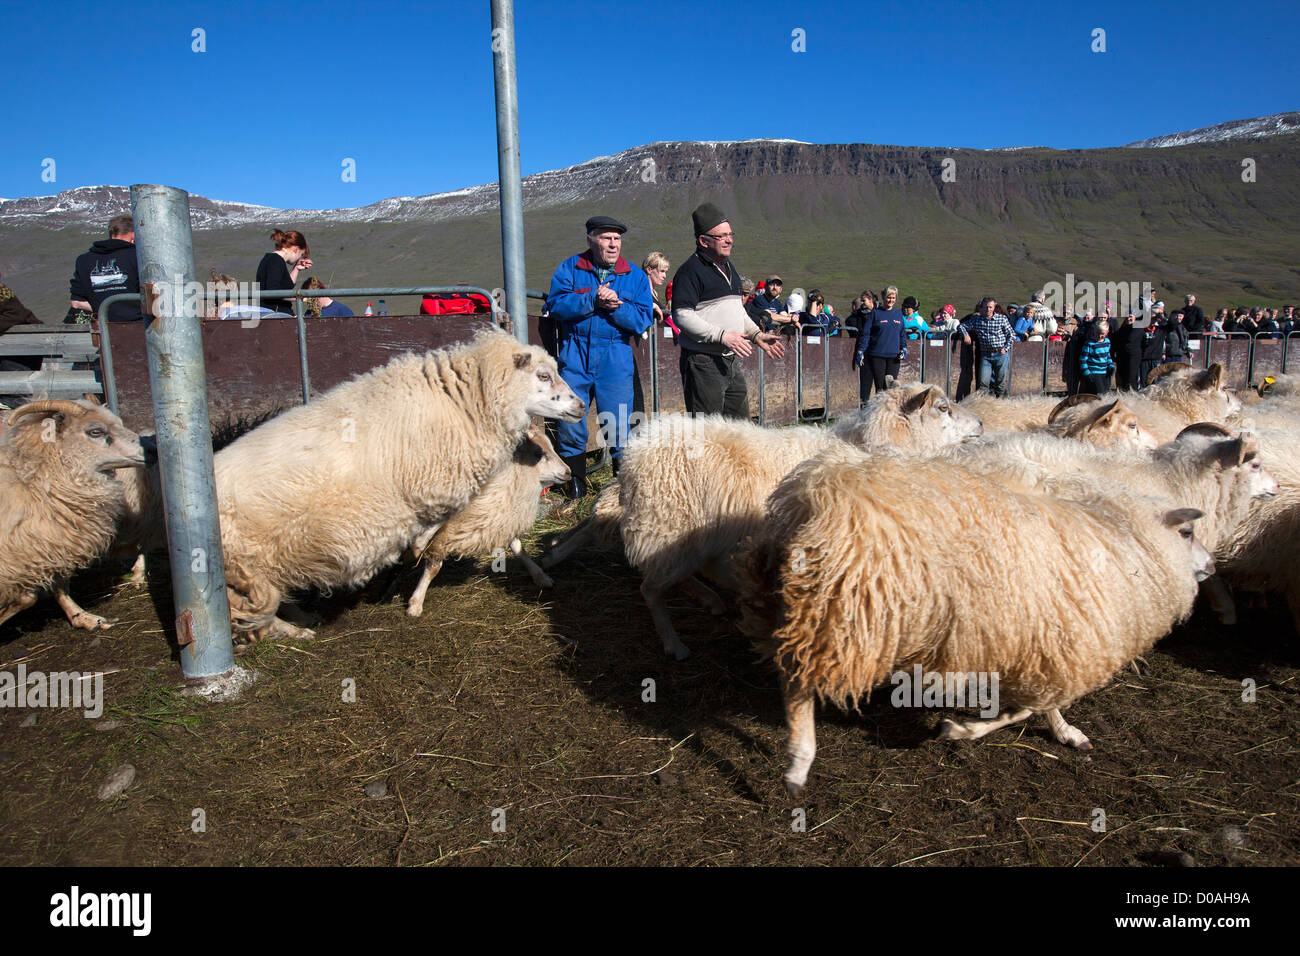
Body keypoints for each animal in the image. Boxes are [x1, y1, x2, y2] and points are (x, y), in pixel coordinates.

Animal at [0, 400, 145, 631]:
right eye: (95, 431)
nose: (151, 447)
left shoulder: (49, 544)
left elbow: (47, 589)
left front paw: (83, 617)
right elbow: (27, 596)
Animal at [405, 425, 570, 617]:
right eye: (538, 453)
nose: (568, 472)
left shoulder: (498, 515)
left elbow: (518, 546)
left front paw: (540, 576)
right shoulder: (445, 530)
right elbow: (433, 567)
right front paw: (416, 603)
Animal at [581, 382, 983, 660]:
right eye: (943, 408)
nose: (980, 422)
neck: (866, 443)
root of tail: (634, 455)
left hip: (686, 537)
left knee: (676, 576)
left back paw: (712, 600)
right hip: (667, 525)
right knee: (651, 589)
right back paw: (674, 643)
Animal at [736, 446, 1215, 796]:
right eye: (1187, 532)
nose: (1211, 567)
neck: (1127, 543)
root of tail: (814, 496)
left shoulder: (1037, 641)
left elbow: (1034, 705)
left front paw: (1060, 733)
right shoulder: (1059, 642)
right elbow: (1030, 708)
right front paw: (962, 729)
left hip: (789, 600)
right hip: (845, 614)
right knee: (798, 684)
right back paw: (798, 764)